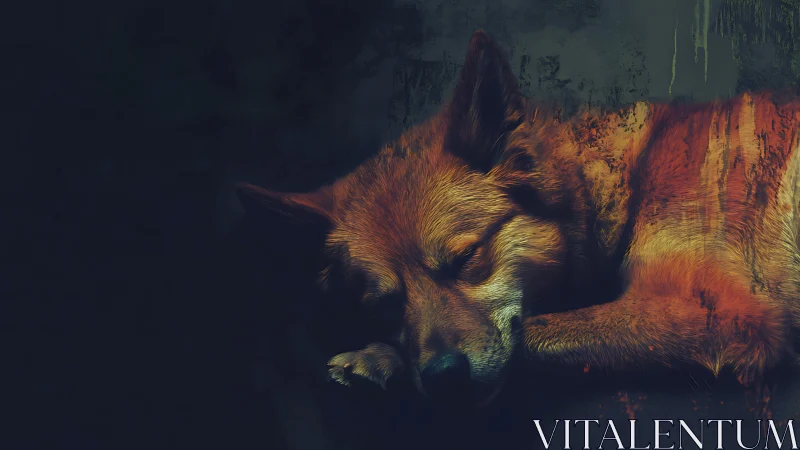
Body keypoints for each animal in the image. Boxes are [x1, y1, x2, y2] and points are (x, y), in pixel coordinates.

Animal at [237, 30, 800, 407]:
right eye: (383, 304)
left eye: (466, 258)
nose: (445, 376)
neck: (626, 179)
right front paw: (390, 357)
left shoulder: (723, 315)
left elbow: (538, 329)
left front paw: (382, 359)